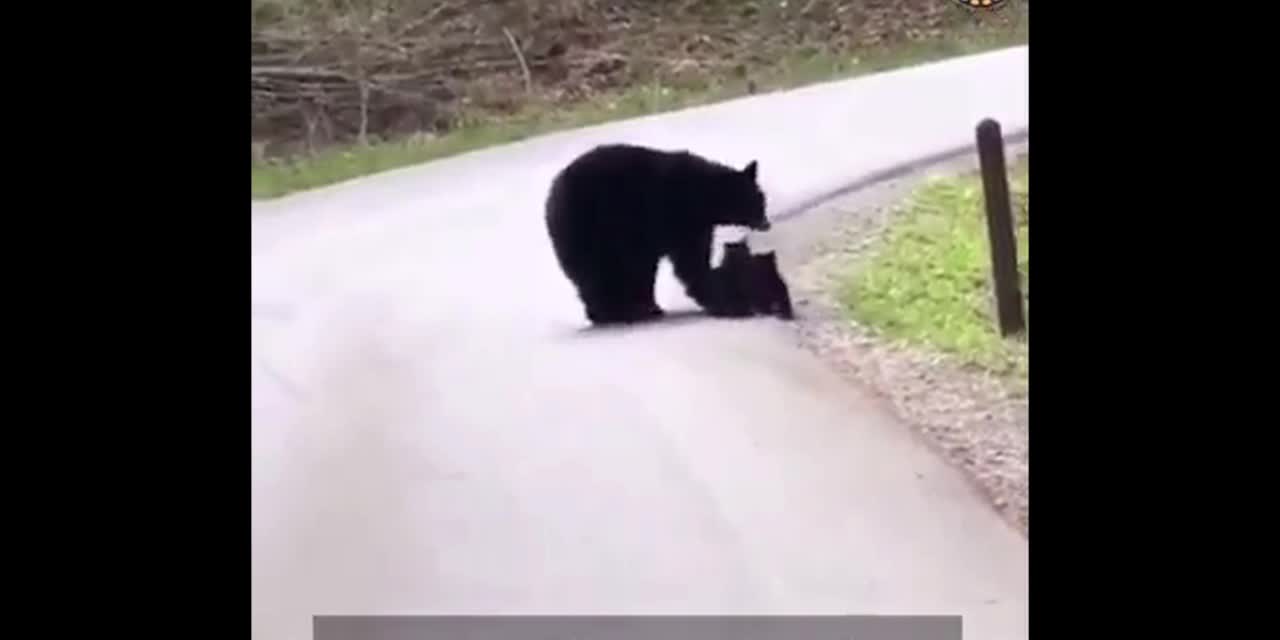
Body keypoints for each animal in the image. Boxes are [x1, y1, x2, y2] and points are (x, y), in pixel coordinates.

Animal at [542, 144, 768, 325]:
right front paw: (728, 305)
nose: (766, 223)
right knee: (597, 272)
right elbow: (689, 263)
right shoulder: (672, 220)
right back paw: (611, 313)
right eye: (757, 203)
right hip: (587, 228)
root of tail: (552, 195)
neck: (703, 197)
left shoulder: (690, 227)